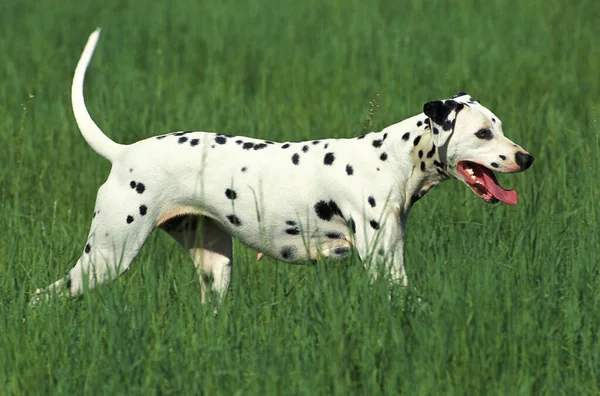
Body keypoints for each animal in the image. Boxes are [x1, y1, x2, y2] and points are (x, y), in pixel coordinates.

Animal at [31, 30, 536, 306]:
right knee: (39, 296)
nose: (526, 158)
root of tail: (123, 153)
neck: (390, 159)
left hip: (214, 268)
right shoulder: (385, 267)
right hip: (106, 257)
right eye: (483, 134)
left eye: (499, 126)